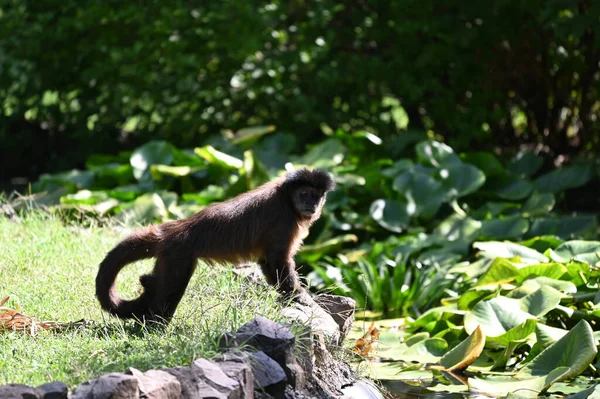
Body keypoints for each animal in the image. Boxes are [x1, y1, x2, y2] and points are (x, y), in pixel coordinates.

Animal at [96, 167, 336, 324]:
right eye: (304, 194)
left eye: (316, 196)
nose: (311, 204)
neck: (287, 198)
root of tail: (173, 229)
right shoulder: (284, 221)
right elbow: (277, 259)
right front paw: (300, 296)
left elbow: (267, 260)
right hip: (178, 255)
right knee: (174, 283)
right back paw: (155, 324)